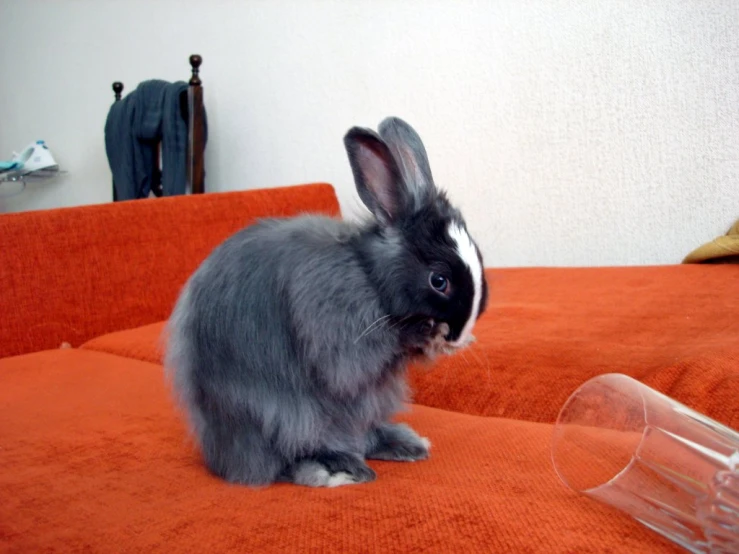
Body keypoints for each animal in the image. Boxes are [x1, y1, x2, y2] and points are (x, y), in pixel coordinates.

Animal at [165, 115, 488, 484]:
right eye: (439, 281)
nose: (460, 336)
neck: (368, 275)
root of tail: (220, 458)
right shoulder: (338, 339)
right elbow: (347, 366)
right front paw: (430, 333)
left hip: (368, 404)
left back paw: (404, 445)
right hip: (279, 413)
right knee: (291, 452)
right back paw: (339, 468)